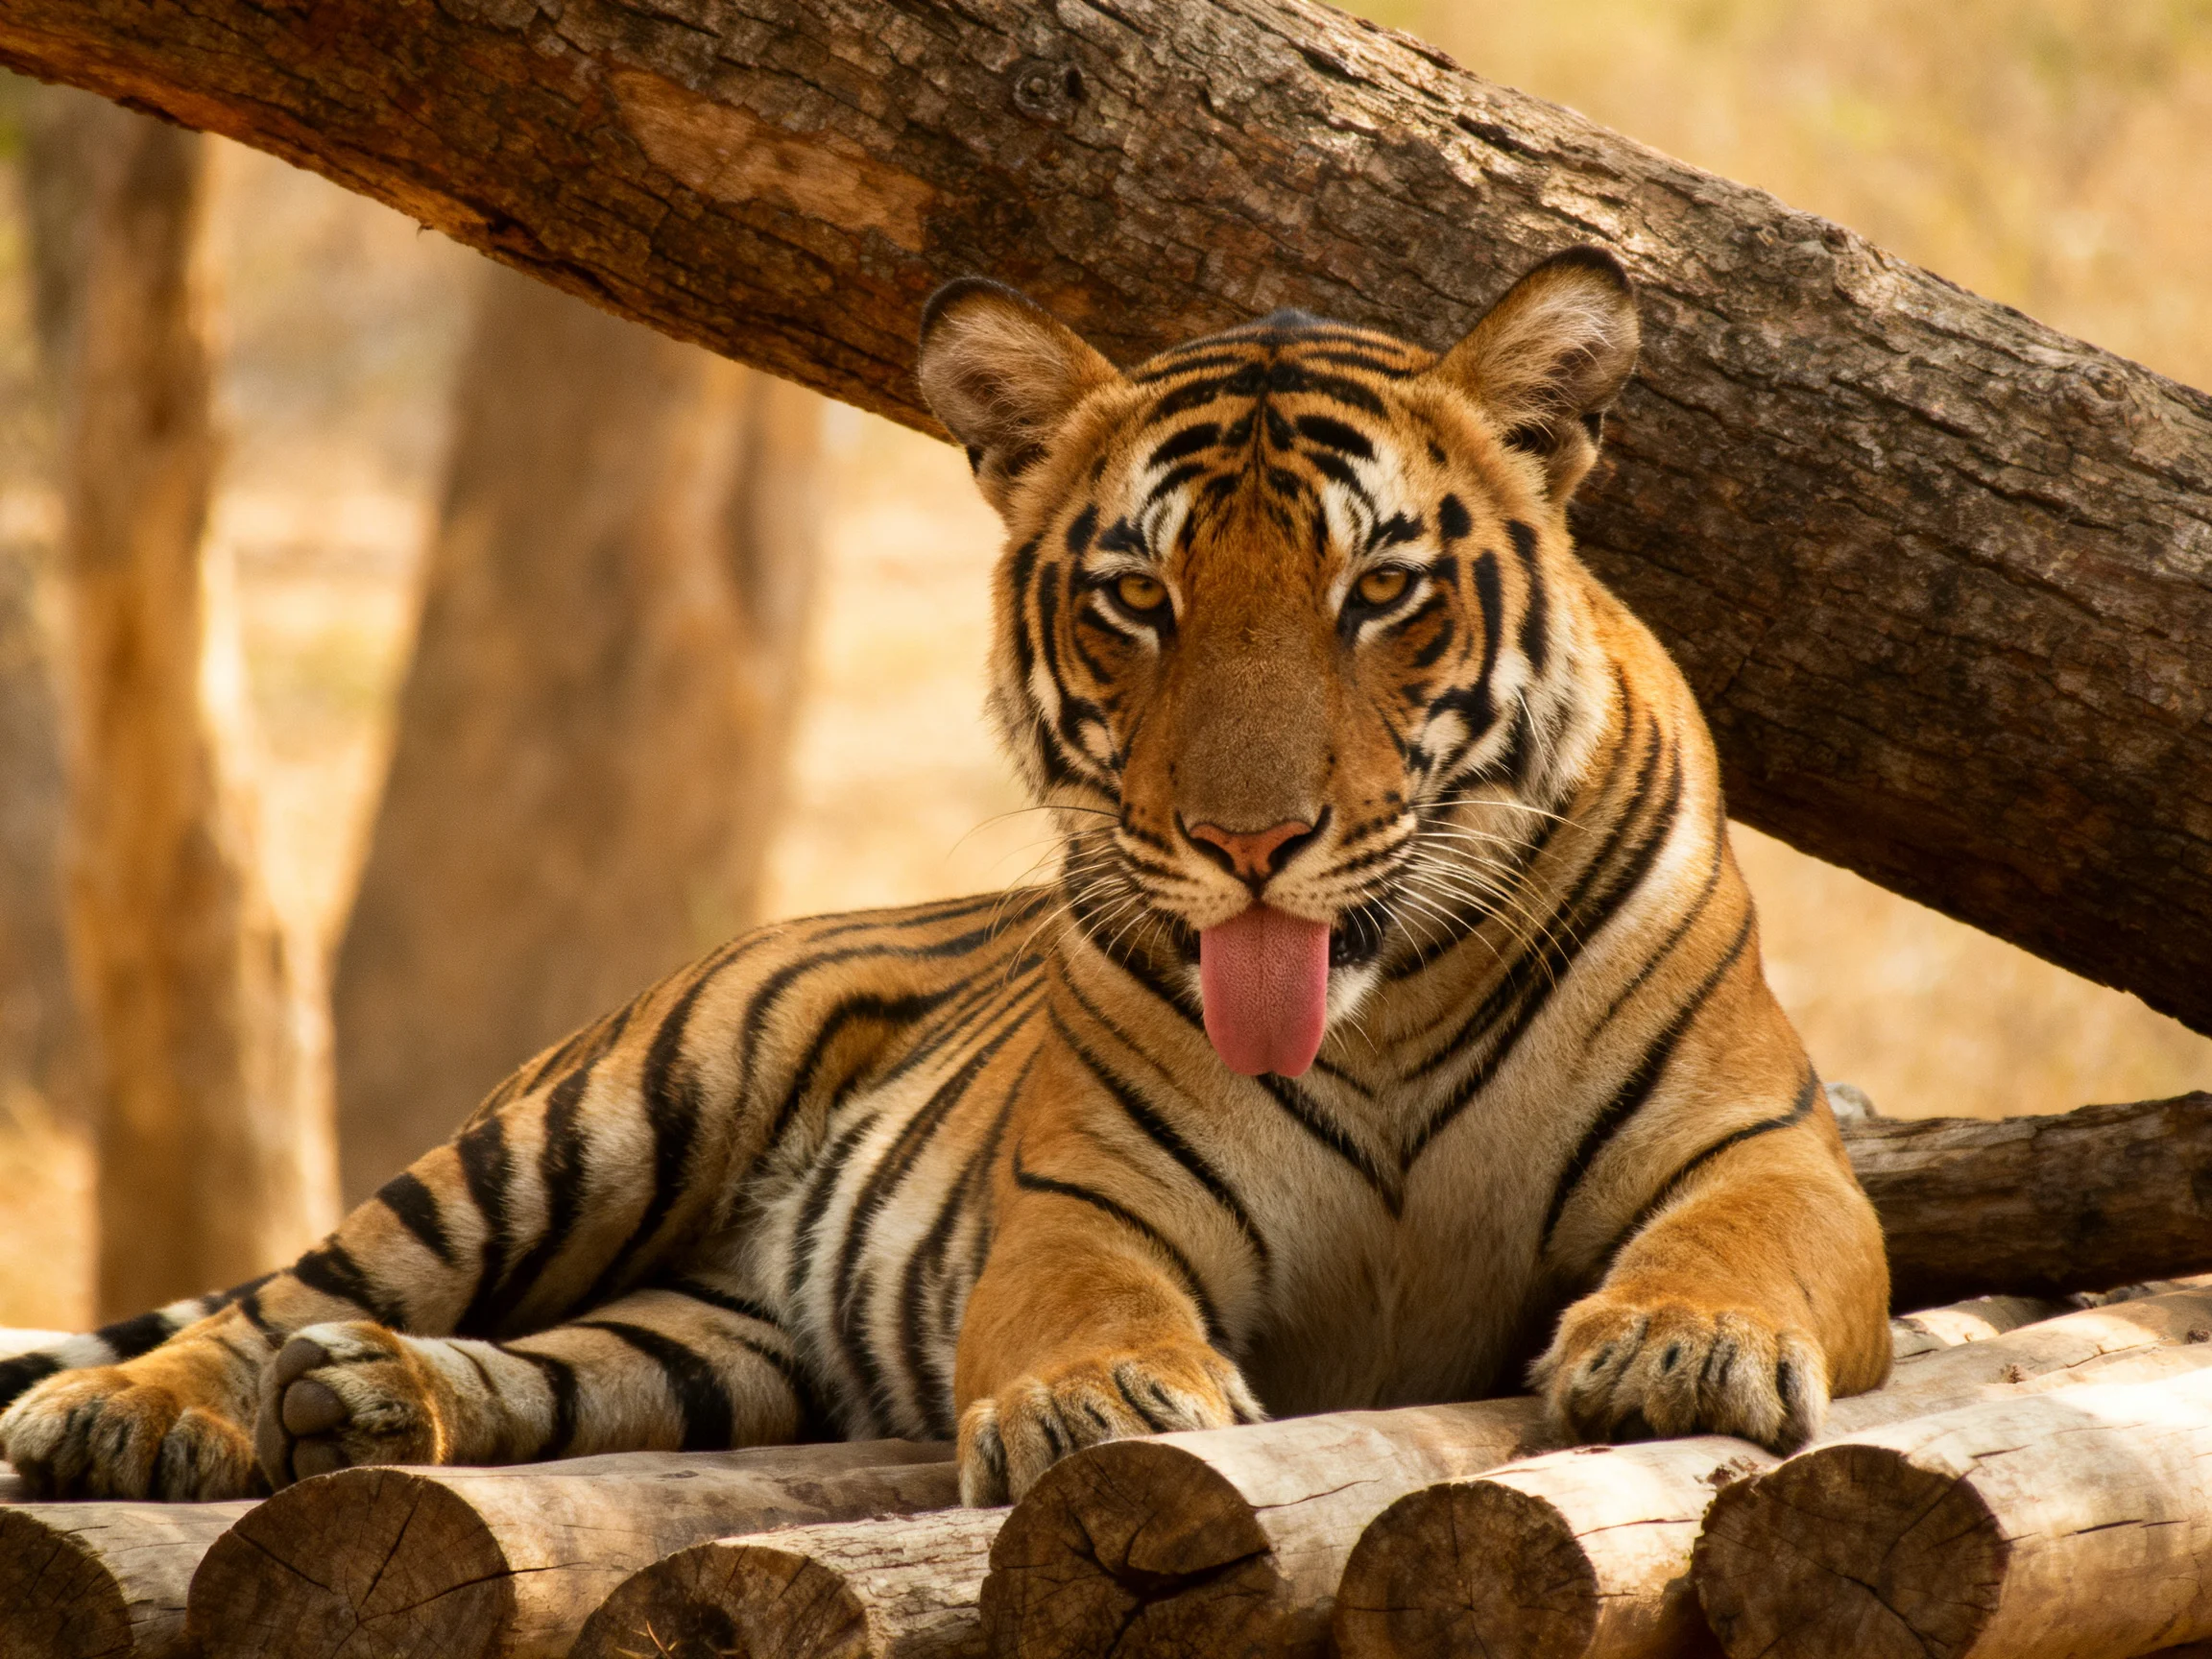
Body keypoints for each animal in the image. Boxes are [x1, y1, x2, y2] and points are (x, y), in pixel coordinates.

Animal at [0, 247, 1891, 1506]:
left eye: (1378, 592)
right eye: (1137, 598)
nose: (1248, 844)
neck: (1387, 1008)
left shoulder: (1765, 1152)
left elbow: (1739, 1243)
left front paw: (1677, 1347)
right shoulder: (1086, 1201)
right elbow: (1090, 1300)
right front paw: (1095, 1401)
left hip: (719, 1336)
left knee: (569, 1362)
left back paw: (370, 1409)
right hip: (591, 1121)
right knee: (293, 1289)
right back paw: (147, 1414)